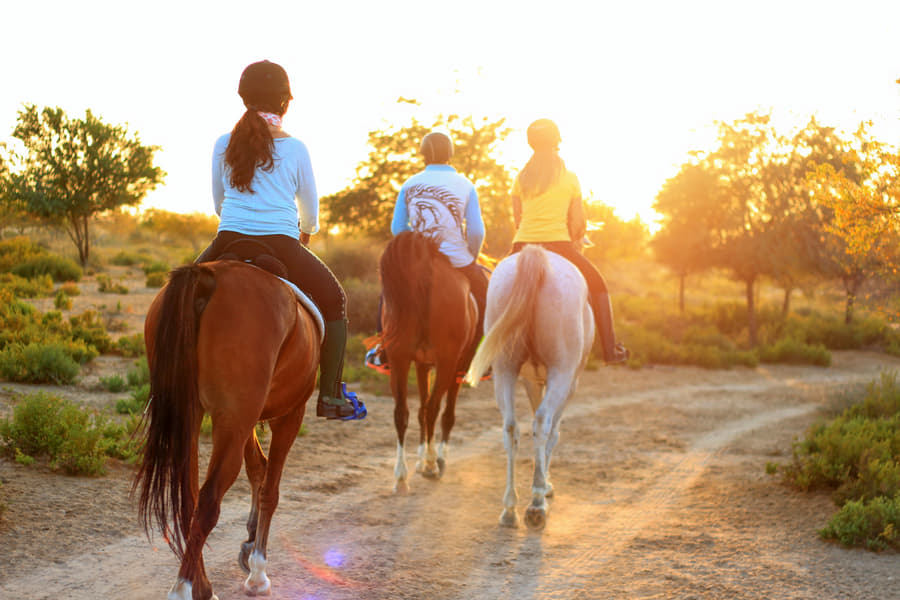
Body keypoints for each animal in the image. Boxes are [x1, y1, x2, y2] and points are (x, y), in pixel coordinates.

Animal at [134, 260, 324, 600]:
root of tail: (208, 275)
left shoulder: (244, 419)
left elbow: (258, 470)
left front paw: (249, 545)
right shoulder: (289, 414)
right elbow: (270, 488)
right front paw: (258, 571)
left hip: (196, 415)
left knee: (189, 497)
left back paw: (202, 586)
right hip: (234, 419)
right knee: (208, 501)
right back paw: (182, 588)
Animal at [379, 231, 478, 493]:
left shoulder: (421, 364)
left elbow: (420, 409)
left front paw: (421, 459)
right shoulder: (457, 366)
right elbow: (445, 414)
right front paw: (434, 458)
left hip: (399, 359)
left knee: (402, 412)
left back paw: (401, 477)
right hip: (447, 362)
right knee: (435, 408)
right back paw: (434, 465)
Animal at [465, 245, 594, 530]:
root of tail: (536, 255)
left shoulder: (530, 380)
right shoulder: (570, 383)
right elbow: (553, 432)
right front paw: (545, 484)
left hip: (504, 369)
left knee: (511, 427)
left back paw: (509, 509)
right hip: (561, 373)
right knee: (543, 422)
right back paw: (536, 505)